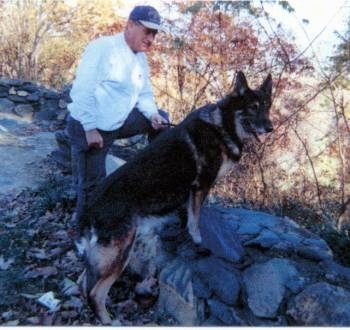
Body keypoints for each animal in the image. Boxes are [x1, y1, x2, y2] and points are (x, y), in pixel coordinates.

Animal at [76, 71, 274, 324]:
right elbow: (195, 218)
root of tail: (90, 207)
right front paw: (198, 239)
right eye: (253, 107)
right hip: (120, 253)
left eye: (267, 107)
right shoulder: (201, 186)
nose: (270, 128)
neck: (223, 125)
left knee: (83, 282)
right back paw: (109, 320)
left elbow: (189, 212)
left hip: (102, 257)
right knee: (95, 293)